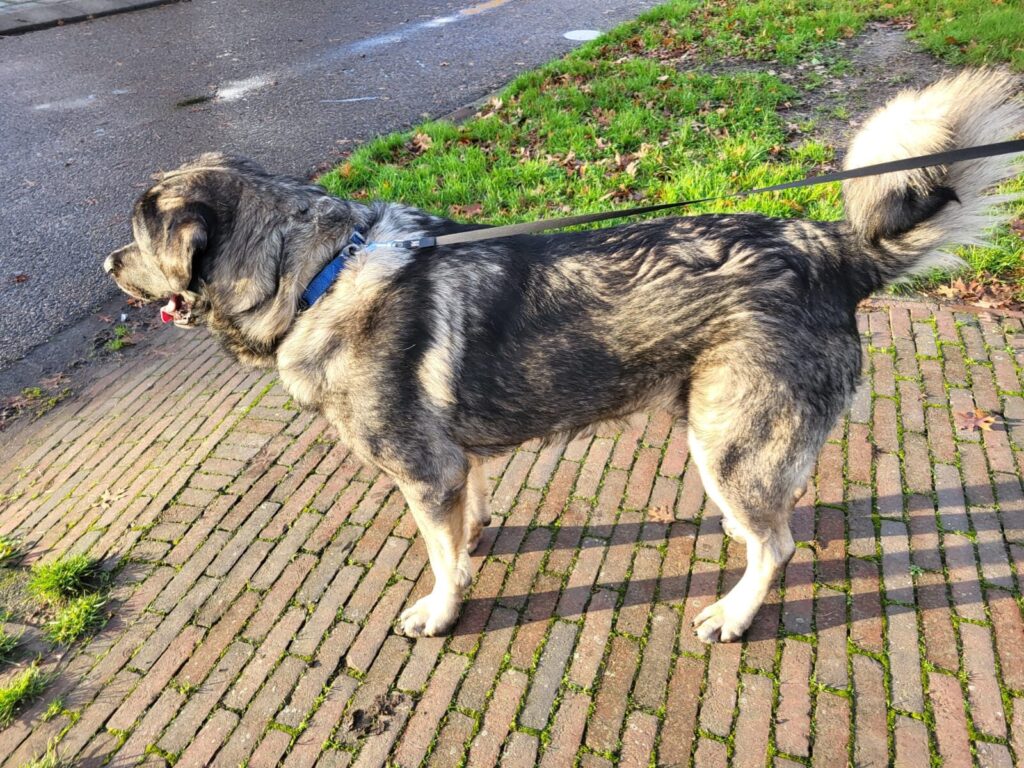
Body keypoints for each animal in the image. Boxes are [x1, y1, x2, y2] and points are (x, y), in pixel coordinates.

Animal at [105, 70, 1021, 641]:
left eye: (141, 235)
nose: (109, 265)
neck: (318, 275)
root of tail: (834, 251)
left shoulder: (423, 472)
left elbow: (438, 558)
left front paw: (441, 610)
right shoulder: (454, 463)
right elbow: (465, 521)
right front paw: (473, 544)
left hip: (725, 441)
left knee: (778, 546)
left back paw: (733, 613)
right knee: (772, 523)